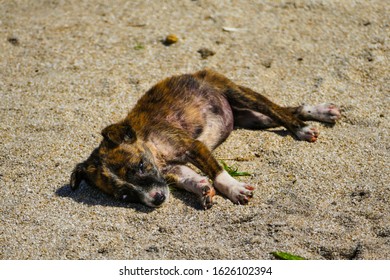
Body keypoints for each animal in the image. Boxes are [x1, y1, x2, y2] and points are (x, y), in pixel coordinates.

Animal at [71, 70, 342, 209]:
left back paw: (303, 127)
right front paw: (202, 189)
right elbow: (191, 179)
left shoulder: (194, 147)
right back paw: (321, 113)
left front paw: (233, 188)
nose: (157, 200)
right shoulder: (173, 171)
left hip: (239, 93)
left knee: (278, 110)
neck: (154, 149)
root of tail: (196, 72)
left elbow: (218, 173)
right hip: (252, 118)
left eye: (140, 167)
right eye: (125, 196)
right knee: (288, 110)